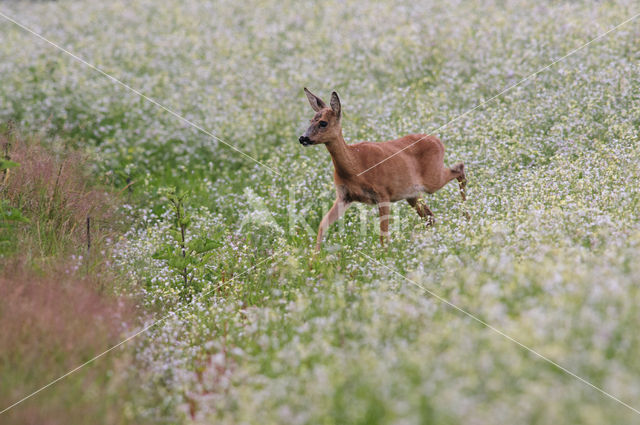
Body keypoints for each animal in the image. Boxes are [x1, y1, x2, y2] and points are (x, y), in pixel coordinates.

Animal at [300, 87, 470, 252]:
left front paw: (385, 256)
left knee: (459, 168)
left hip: (432, 180)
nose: (303, 138)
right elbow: (322, 224)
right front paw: (315, 258)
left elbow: (383, 235)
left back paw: (466, 217)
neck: (355, 167)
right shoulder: (344, 196)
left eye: (323, 123)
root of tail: (439, 141)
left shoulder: (383, 194)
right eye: (310, 120)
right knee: (431, 217)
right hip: (413, 194)